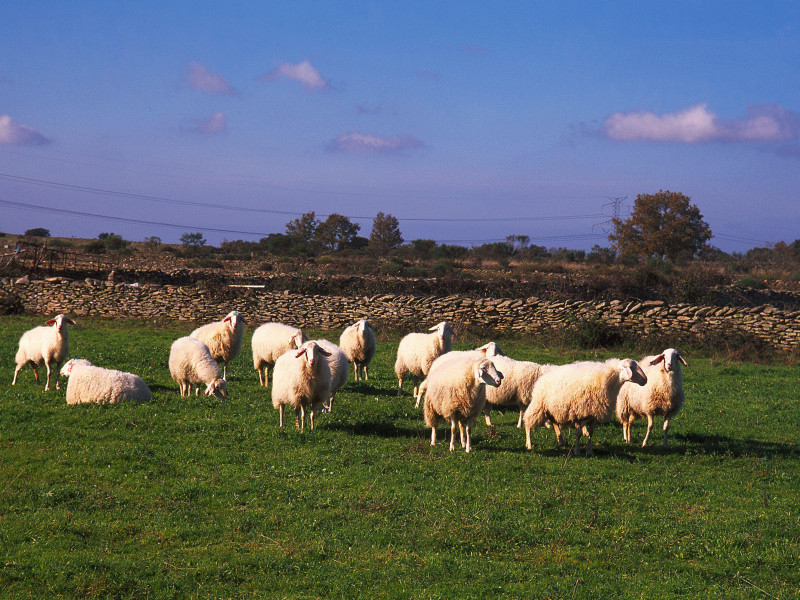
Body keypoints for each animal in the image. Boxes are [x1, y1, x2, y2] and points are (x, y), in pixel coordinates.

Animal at [520, 358, 648, 458]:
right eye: (631, 367)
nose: (645, 380)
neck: (609, 382)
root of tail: (542, 378)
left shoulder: (594, 414)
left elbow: (591, 433)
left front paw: (589, 450)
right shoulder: (578, 413)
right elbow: (578, 434)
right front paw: (577, 451)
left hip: (554, 408)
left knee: (555, 422)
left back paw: (561, 441)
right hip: (539, 405)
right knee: (528, 423)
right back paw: (529, 444)